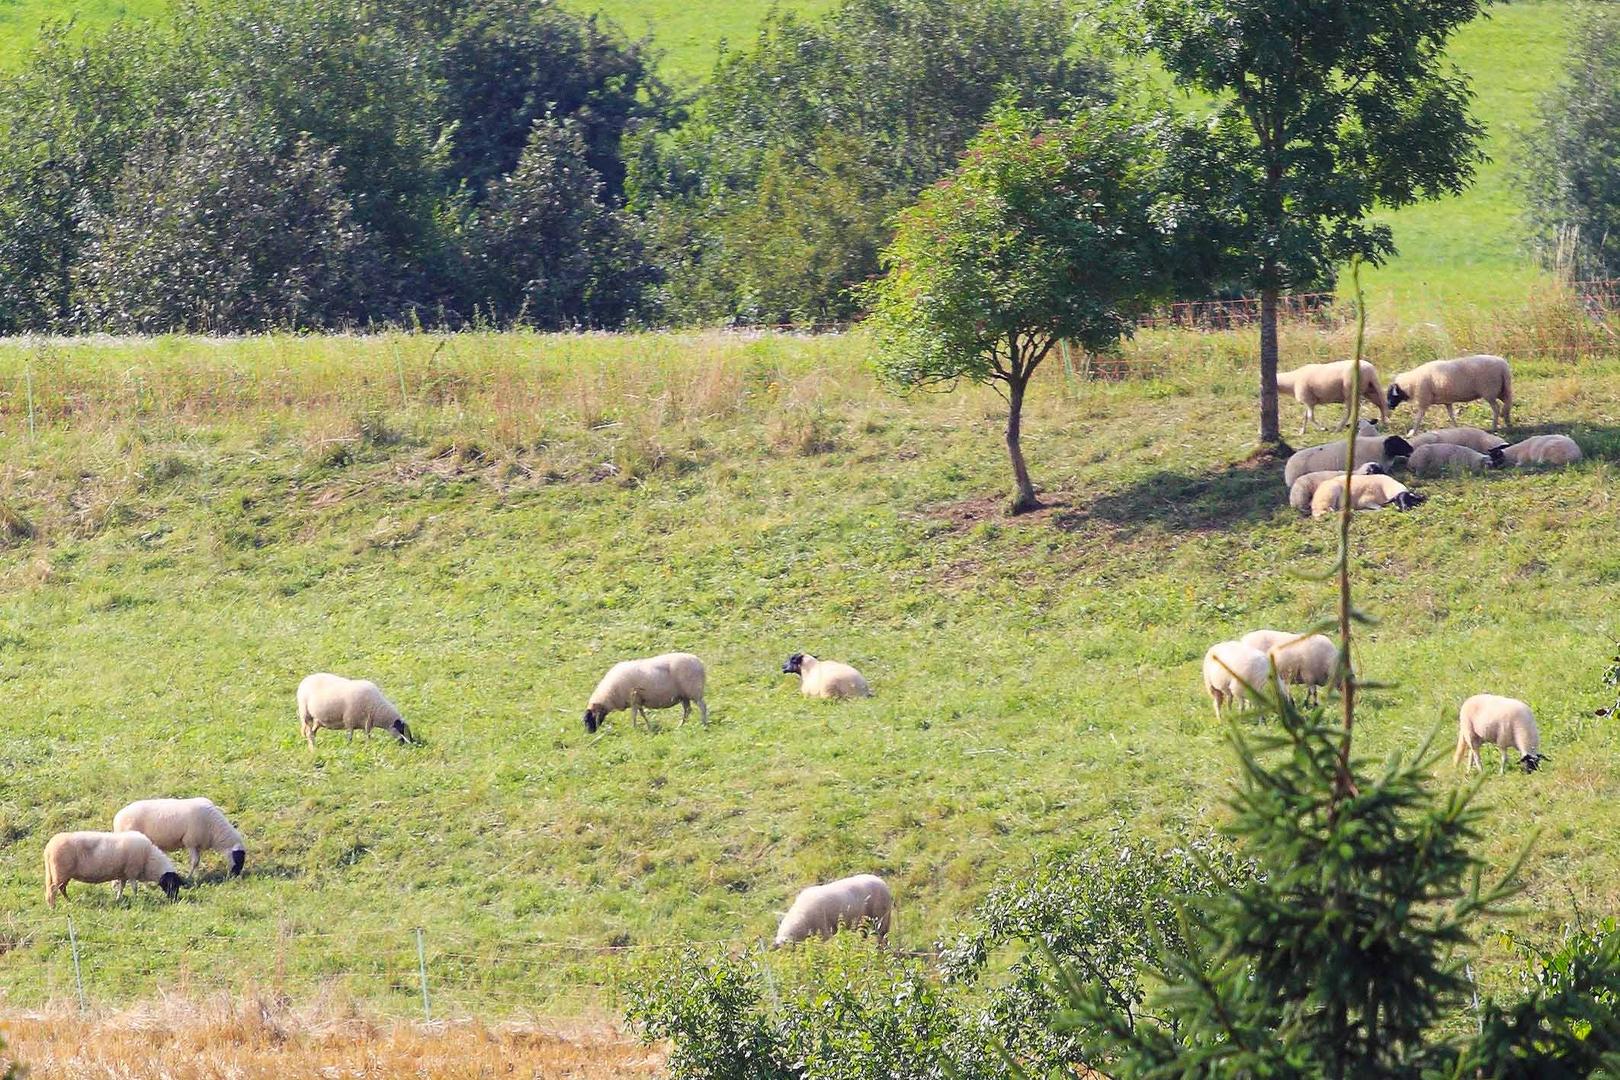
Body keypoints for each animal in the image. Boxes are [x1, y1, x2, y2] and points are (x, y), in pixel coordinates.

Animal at [43, 835, 181, 906]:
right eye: (172, 884)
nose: (174, 901)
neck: (149, 859)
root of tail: (49, 848)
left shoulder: (124, 874)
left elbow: (122, 887)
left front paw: (118, 899)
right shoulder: (132, 871)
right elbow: (134, 887)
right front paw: (136, 899)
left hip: (62, 874)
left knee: (61, 888)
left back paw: (69, 902)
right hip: (60, 872)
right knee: (53, 889)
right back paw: (52, 906)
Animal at [114, 793, 246, 880]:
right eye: (238, 857)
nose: (236, 876)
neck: (214, 828)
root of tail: (117, 818)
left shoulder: (197, 844)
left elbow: (197, 861)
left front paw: (196, 875)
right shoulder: (191, 841)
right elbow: (195, 861)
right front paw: (191, 877)